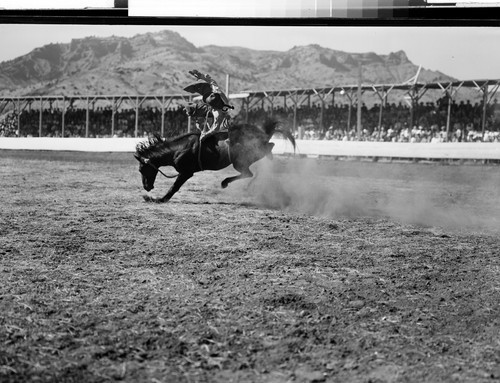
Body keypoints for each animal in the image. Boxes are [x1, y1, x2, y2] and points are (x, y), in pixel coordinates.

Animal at [135, 120, 294, 204]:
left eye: (141, 169)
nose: (147, 187)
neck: (178, 149)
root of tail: (262, 134)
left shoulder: (186, 172)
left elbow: (174, 187)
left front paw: (158, 199)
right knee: (250, 171)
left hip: (240, 162)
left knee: (252, 168)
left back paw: (225, 182)